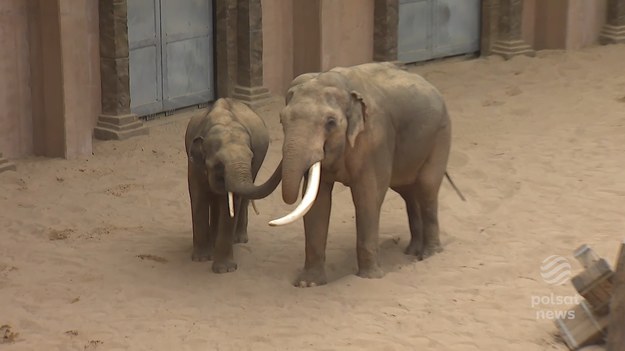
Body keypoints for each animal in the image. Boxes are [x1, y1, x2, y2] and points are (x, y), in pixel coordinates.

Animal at [185, 98, 280, 276]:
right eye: (218, 165)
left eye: (251, 159)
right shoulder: (193, 163)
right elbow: (199, 197)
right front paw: (201, 259)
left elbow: (232, 203)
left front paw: (224, 269)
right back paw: (213, 241)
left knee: (240, 200)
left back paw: (238, 239)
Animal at [266, 62, 454, 288]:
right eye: (281, 120)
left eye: (330, 122)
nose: (270, 223)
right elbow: (317, 203)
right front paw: (308, 284)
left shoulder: (375, 140)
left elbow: (367, 197)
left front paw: (369, 277)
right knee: (408, 192)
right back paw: (412, 252)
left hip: (441, 135)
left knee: (427, 187)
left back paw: (429, 254)